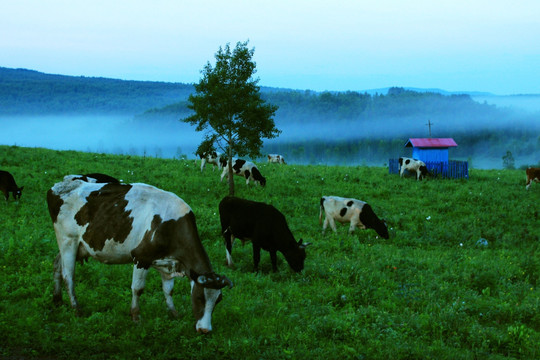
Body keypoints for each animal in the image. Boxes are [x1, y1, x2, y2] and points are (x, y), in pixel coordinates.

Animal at [47, 179, 232, 334]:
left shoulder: (168, 263)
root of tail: (59, 185)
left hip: (77, 246)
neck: (170, 226)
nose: (205, 330)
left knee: (57, 265)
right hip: (68, 240)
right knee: (68, 275)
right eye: (199, 297)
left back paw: (57, 300)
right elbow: (138, 288)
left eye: (218, 300)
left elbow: (168, 290)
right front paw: (136, 317)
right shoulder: (141, 257)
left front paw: (173, 313)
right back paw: (76, 309)